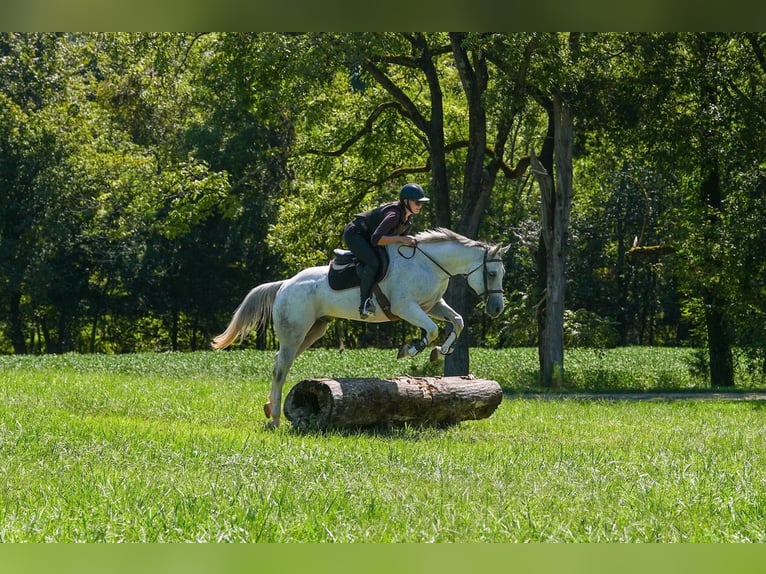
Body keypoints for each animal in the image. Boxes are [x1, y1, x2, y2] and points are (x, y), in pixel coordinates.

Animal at [212, 228, 510, 427]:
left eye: (502, 273)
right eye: (492, 273)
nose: (497, 309)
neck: (430, 264)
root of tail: (285, 283)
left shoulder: (432, 305)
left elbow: (457, 321)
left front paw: (440, 350)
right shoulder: (407, 307)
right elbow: (432, 330)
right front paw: (413, 348)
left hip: (312, 331)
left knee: (280, 362)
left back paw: (269, 408)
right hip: (296, 331)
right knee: (280, 369)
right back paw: (274, 418)